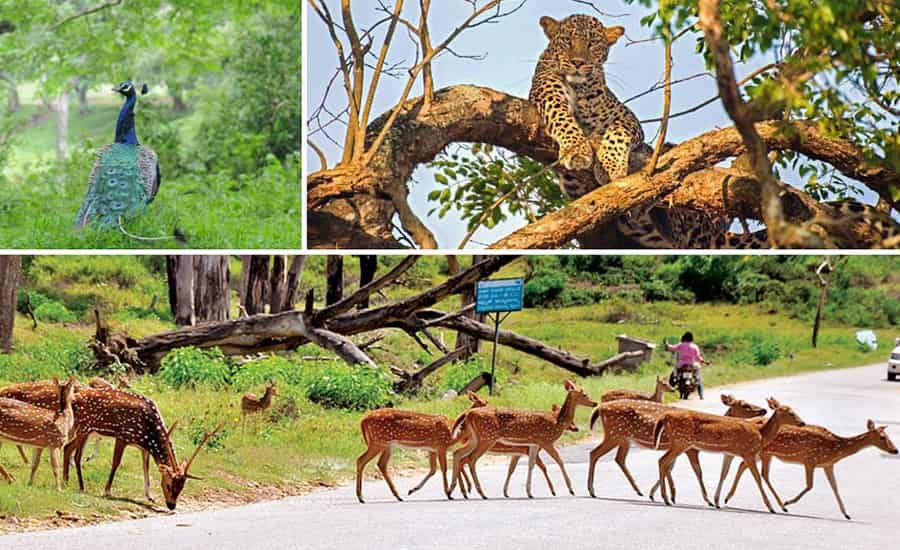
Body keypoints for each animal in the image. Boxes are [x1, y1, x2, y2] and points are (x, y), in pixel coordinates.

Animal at [446, 382, 596, 502]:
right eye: (584, 394)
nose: (594, 403)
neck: (557, 423)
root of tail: (468, 414)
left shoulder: (533, 444)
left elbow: (531, 465)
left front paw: (529, 492)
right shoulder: (545, 441)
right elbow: (559, 460)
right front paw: (570, 489)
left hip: (475, 438)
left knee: (458, 453)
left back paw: (451, 492)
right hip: (487, 437)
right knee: (470, 459)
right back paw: (480, 493)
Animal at [592, 394, 768, 506]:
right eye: (744, 405)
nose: (763, 410)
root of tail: (599, 408)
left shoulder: (681, 447)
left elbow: (670, 467)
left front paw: (661, 494)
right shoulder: (690, 448)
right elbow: (695, 470)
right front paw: (702, 499)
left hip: (623, 439)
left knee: (618, 458)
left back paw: (638, 491)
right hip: (615, 434)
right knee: (596, 454)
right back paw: (593, 490)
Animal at [652, 398, 804, 516]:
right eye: (790, 413)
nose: (802, 422)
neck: (761, 435)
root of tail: (665, 417)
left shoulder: (730, 453)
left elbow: (724, 473)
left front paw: (717, 501)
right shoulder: (748, 453)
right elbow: (757, 479)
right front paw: (772, 507)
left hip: (680, 443)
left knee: (663, 461)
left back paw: (665, 497)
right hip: (681, 441)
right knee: (663, 460)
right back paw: (665, 498)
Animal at [720, 420, 896, 520]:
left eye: (888, 436)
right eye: (882, 437)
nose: (895, 450)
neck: (835, 449)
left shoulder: (827, 465)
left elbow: (835, 487)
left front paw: (846, 514)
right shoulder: (810, 460)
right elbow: (810, 486)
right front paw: (788, 501)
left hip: (760, 453)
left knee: (743, 465)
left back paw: (728, 497)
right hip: (764, 452)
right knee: (757, 471)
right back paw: (781, 505)